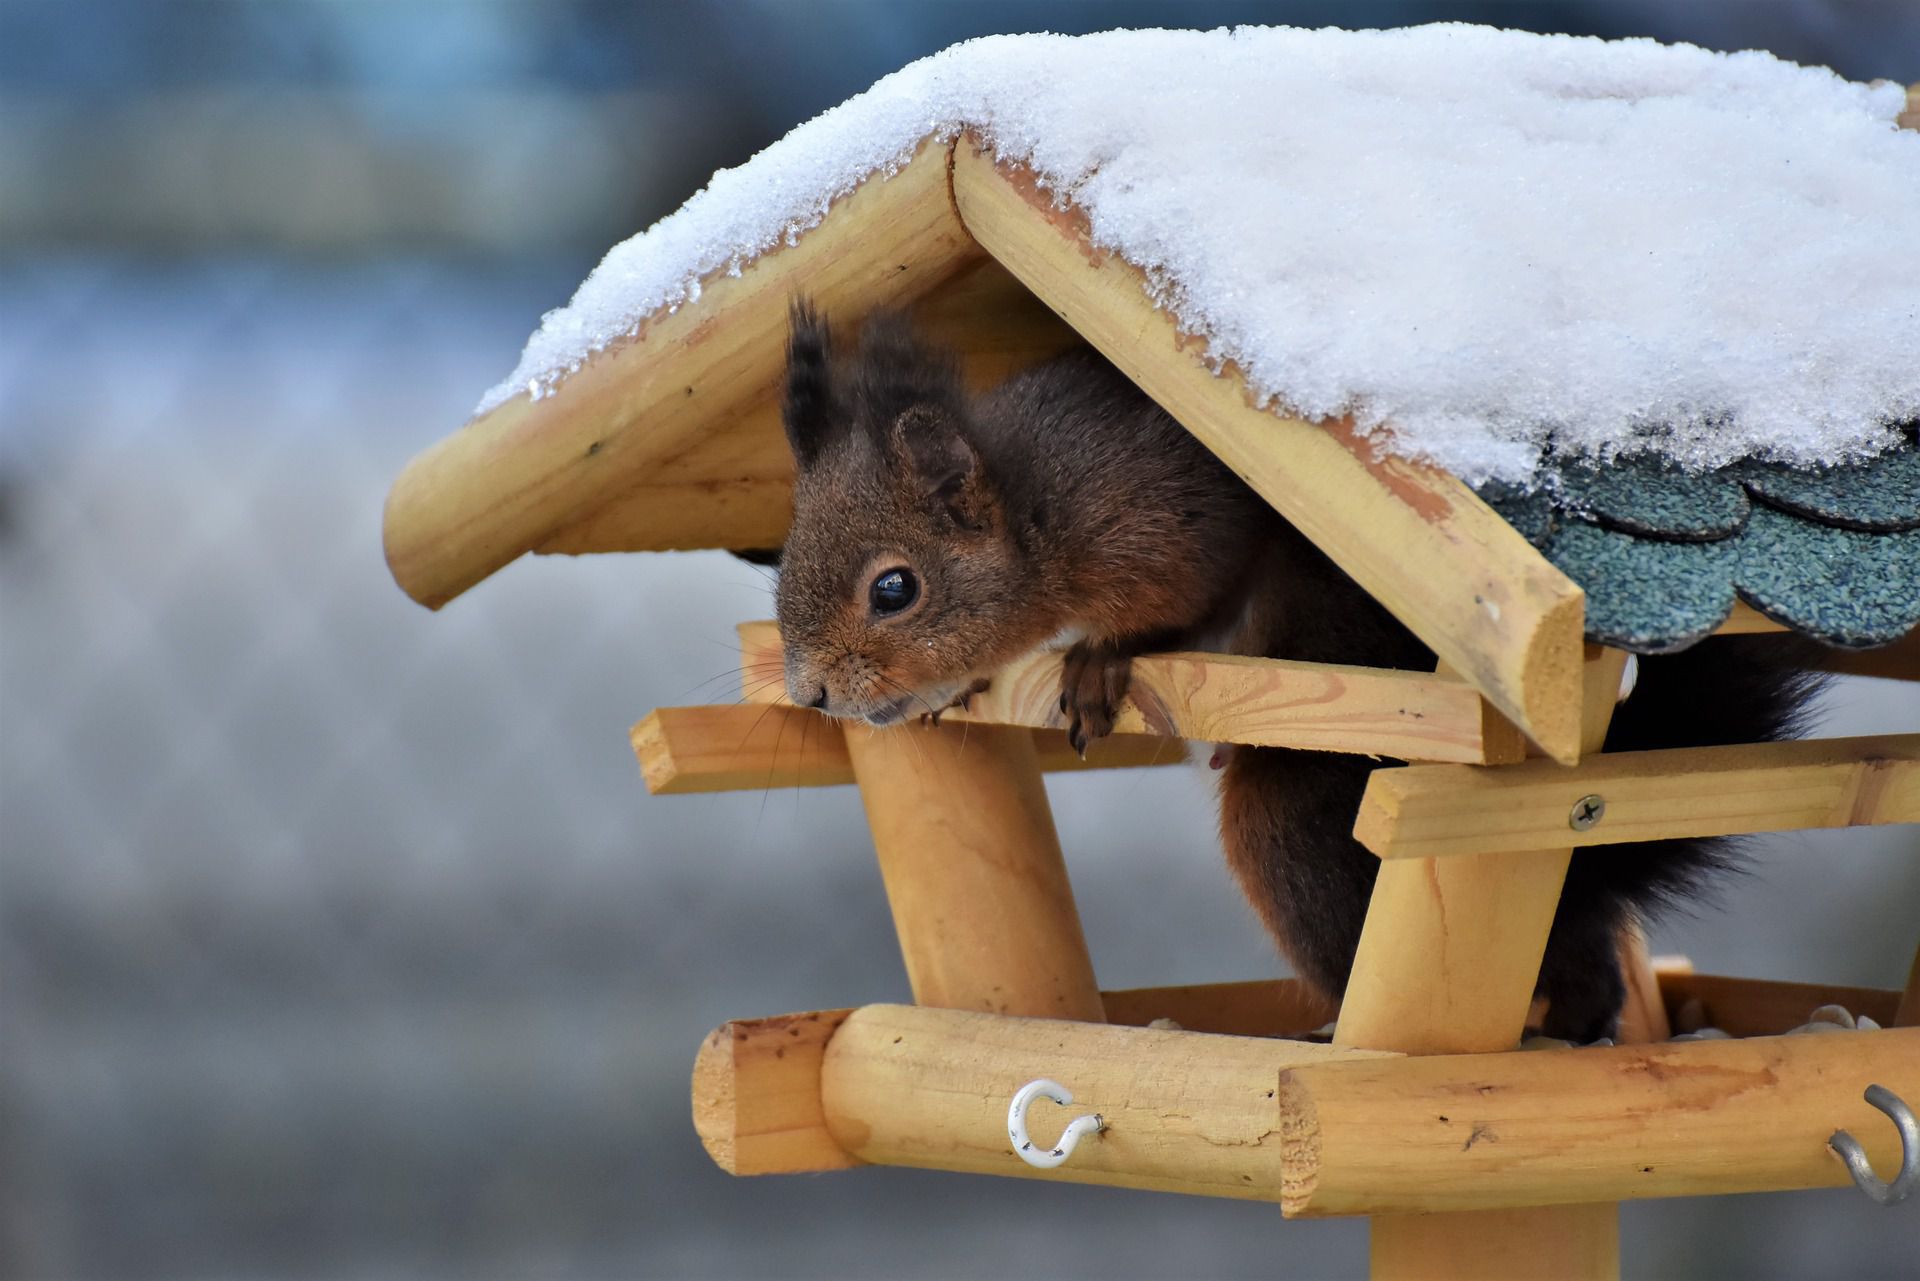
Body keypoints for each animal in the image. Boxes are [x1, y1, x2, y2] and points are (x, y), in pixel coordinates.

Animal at [764, 305, 1812, 1044]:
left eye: (894, 588)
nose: (814, 692)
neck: (1036, 513)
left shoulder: (1165, 520)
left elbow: (1186, 599)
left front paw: (1102, 660)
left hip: (1296, 820)